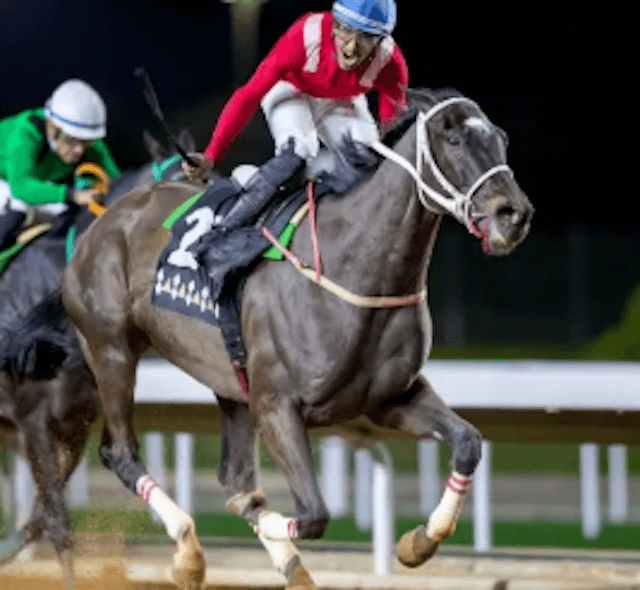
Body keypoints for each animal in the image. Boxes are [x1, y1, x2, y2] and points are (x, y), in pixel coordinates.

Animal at [58, 89, 528, 590]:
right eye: (454, 138)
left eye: (501, 138)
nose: (514, 214)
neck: (355, 268)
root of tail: (110, 215)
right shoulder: (276, 405)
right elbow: (314, 514)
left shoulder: (389, 398)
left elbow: (468, 442)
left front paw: (419, 541)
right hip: (111, 348)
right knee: (120, 452)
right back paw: (188, 552)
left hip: (230, 383)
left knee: (234, 473)